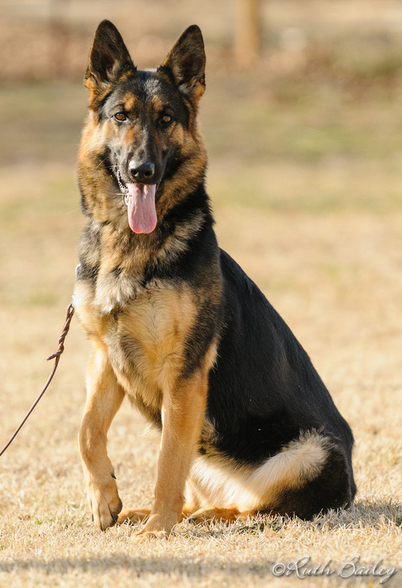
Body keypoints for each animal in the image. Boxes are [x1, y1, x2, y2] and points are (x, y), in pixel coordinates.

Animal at [74, 20, 356, 540]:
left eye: (166, 119)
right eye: (121, 117)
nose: (143, 172)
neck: (128, 244)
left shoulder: (183, 374)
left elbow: (166, 462)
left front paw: (158, 531)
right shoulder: (105, 356)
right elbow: (86, 431)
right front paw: (105, 498)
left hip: (309, 452)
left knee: (257, 507)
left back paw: (200, 516)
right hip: (203, 449)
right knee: (206, 487)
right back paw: (171, 511)